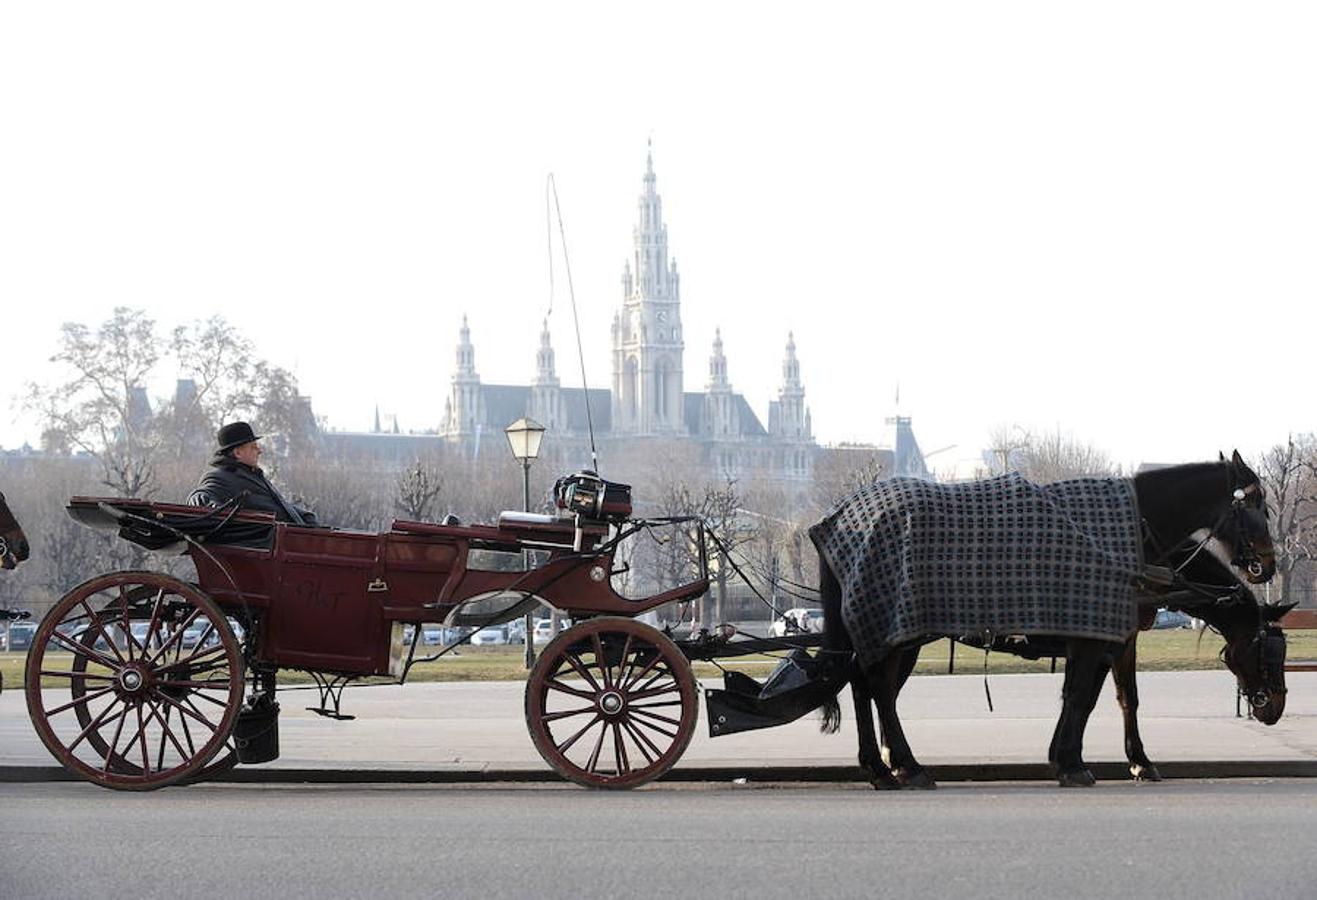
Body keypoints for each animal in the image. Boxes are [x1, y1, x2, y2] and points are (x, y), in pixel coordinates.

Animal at [816, 450, 1280, 790]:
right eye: (1257, 502)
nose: (1274, 707)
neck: (1132, 533)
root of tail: (842, 514)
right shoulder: (1097, 636)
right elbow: (1082, 697)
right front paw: (1074, 763)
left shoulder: (1114, 635)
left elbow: (1113, 698)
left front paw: (1119, 759)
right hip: (899, 628)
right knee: (878, 688)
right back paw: (904, 766)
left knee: (867, 686)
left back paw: (882, 765)